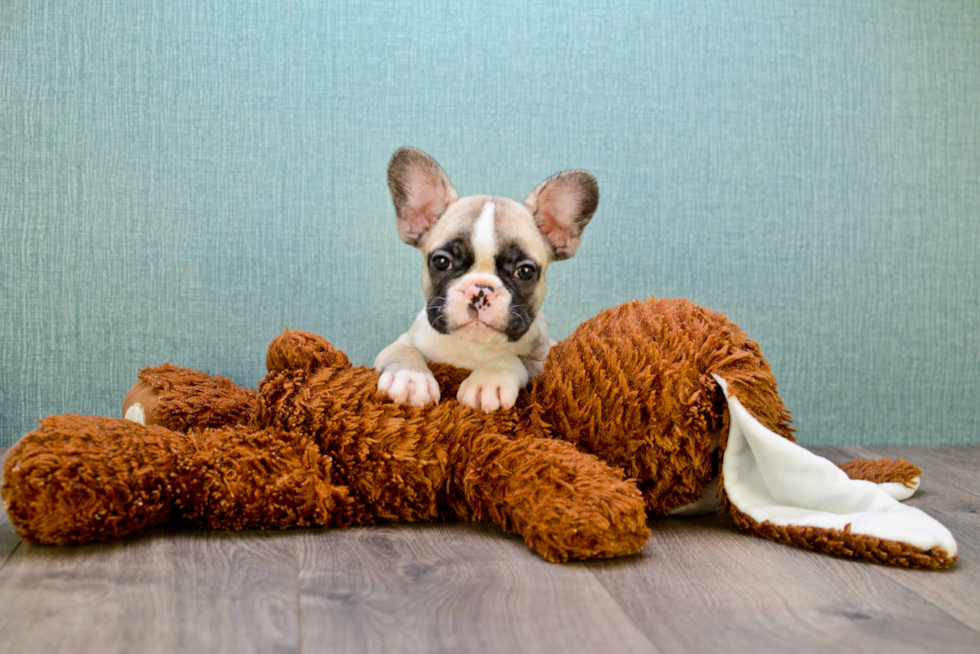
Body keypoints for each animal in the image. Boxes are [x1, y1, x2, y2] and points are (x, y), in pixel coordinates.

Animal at [376, 149, 596, 416]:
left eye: (525, 271)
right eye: (441, 262)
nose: (480, 291)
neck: (474, 346)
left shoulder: (545, 360)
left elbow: (514, 359)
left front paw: (488, 380)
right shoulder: (399, 343)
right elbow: (402, 351)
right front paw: (409, 378)